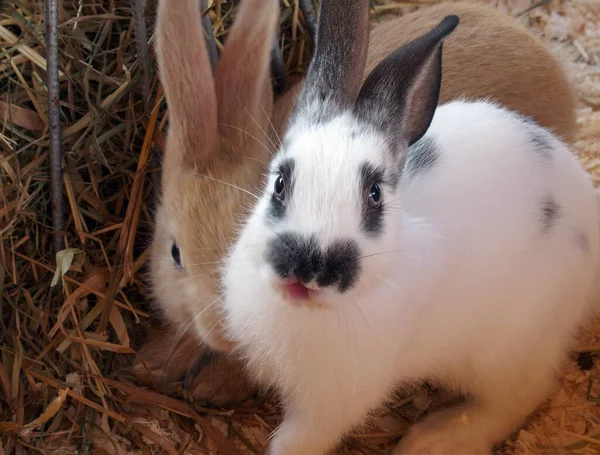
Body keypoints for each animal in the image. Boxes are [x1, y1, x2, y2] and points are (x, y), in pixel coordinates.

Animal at [220, 1, 600, 454]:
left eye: (374, 196)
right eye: (279, 183)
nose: (306, 270)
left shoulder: (328, 409)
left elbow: (296, 442)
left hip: (507, 347)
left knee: (520, 396)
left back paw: (434, 438)